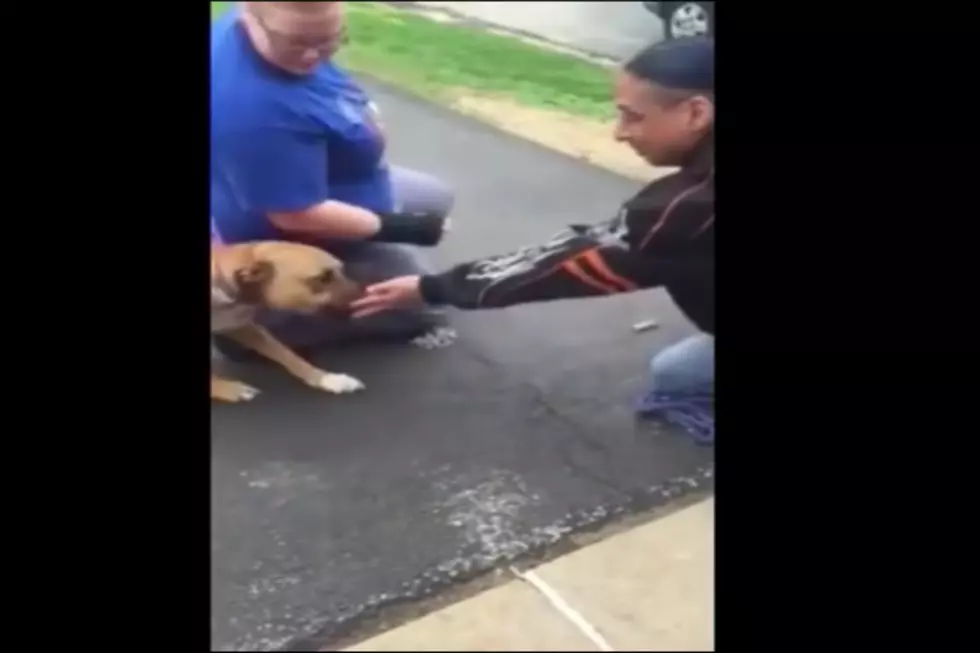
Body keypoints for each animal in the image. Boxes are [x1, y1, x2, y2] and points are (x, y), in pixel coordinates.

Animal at [212, 241, 366, 402]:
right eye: (323, 278)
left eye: (342, 270)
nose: (365, 292)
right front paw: (229, 389)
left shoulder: (241, 326)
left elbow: (287, 354)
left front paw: (327, 379)